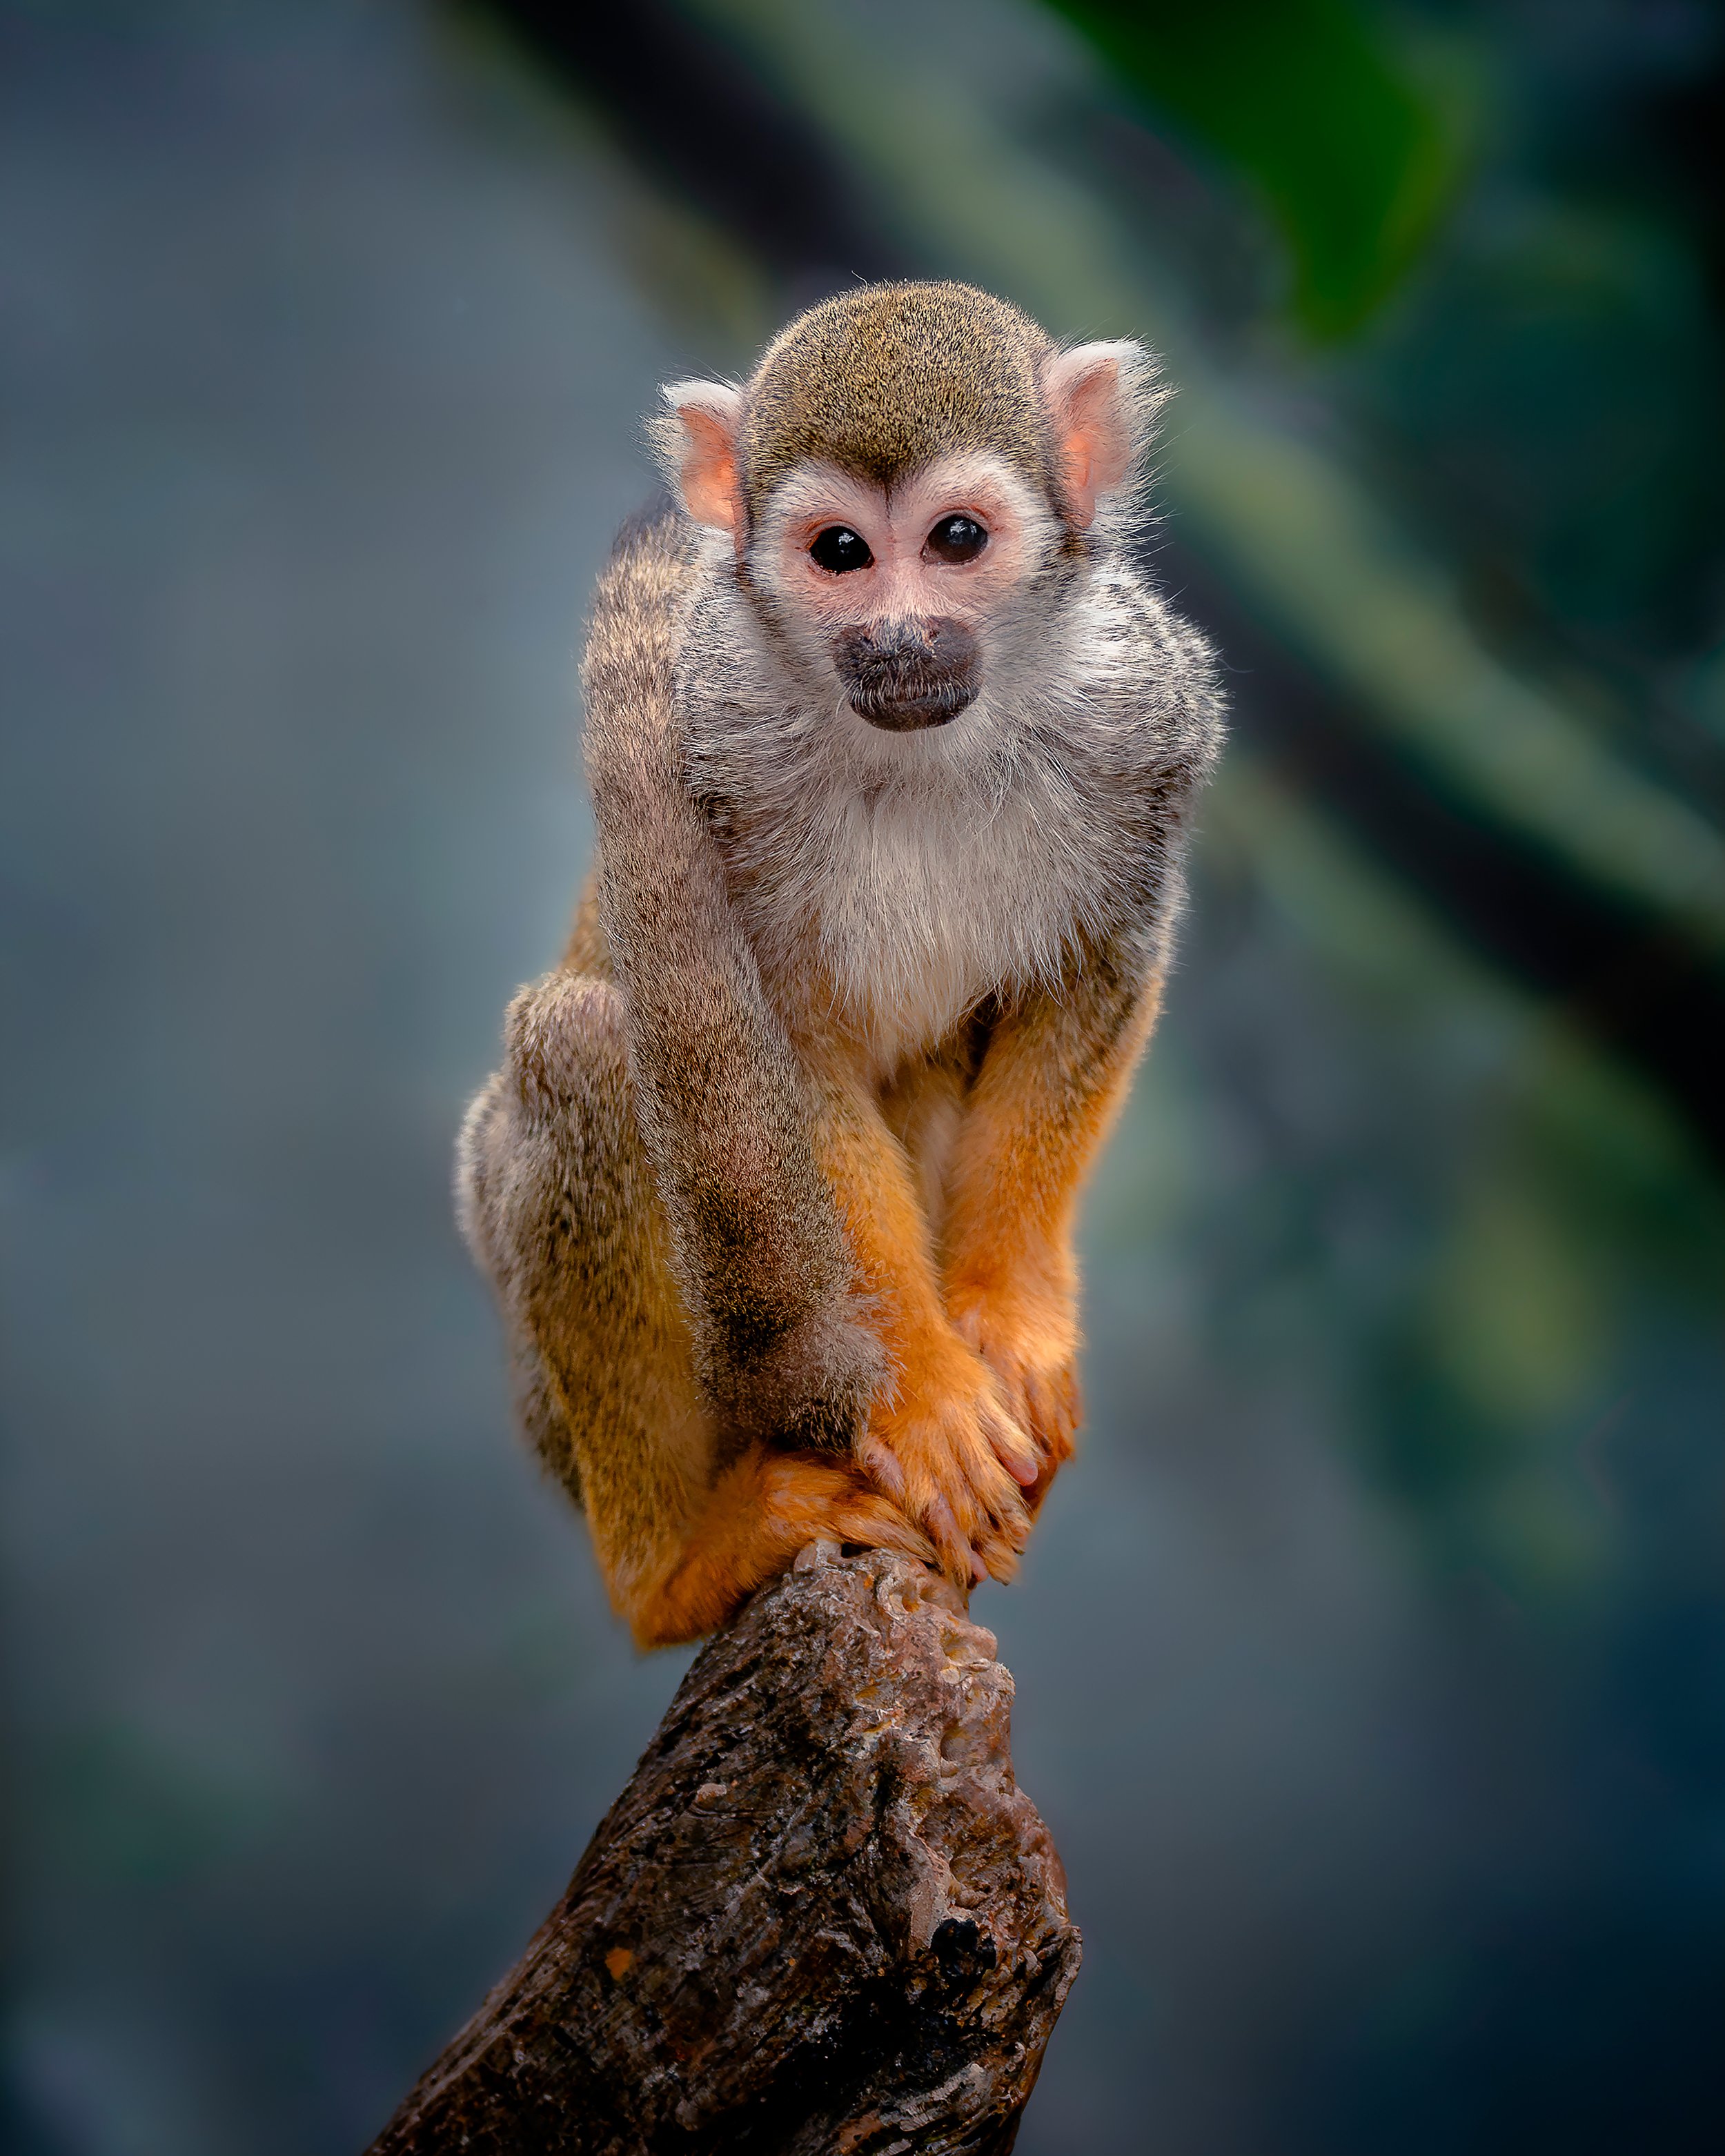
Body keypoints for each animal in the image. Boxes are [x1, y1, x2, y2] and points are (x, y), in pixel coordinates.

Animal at [457, 281, 1224, 1649]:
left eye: (958, 538)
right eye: (839, 555)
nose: (898, 636)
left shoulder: (1146, 716)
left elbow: (1092, 973)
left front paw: (1010, 1317)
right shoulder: (714, 754)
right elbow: (786, 1062)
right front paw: (920, 1393)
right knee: (587, 1048)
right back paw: (671, 1572)